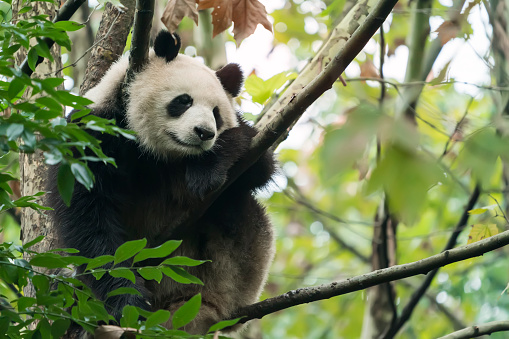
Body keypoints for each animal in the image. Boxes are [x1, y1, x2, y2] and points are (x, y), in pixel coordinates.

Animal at [47, 30, 276, 336]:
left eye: (216, 113)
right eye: (184, 101)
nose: (204, 133)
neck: (155, 152)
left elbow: (258, 164)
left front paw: (207, 169)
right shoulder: (92, 133)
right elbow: (89, 219)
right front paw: (128, 303)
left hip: (236, 268)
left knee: (240, 212)